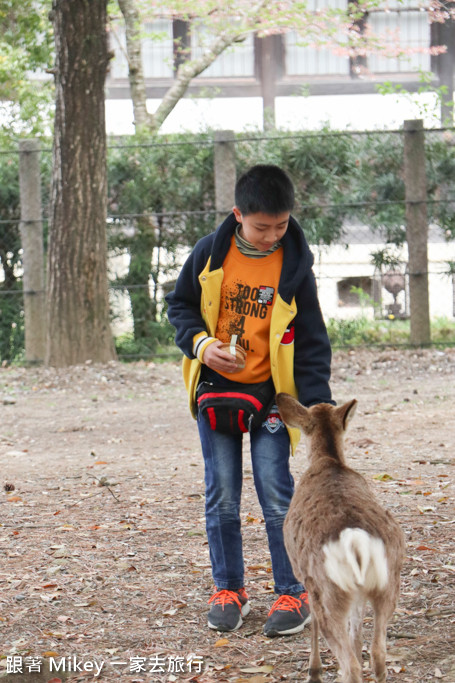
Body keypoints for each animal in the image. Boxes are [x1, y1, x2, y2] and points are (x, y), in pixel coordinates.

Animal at [276, 396, 408, 683]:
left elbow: (313, 624)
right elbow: (356, 631)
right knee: (378, 652)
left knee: (350, 664)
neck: (328, 461)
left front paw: (314, 672)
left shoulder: (305, 576)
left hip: (329, 591)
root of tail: (355, 541)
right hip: (387, 584)